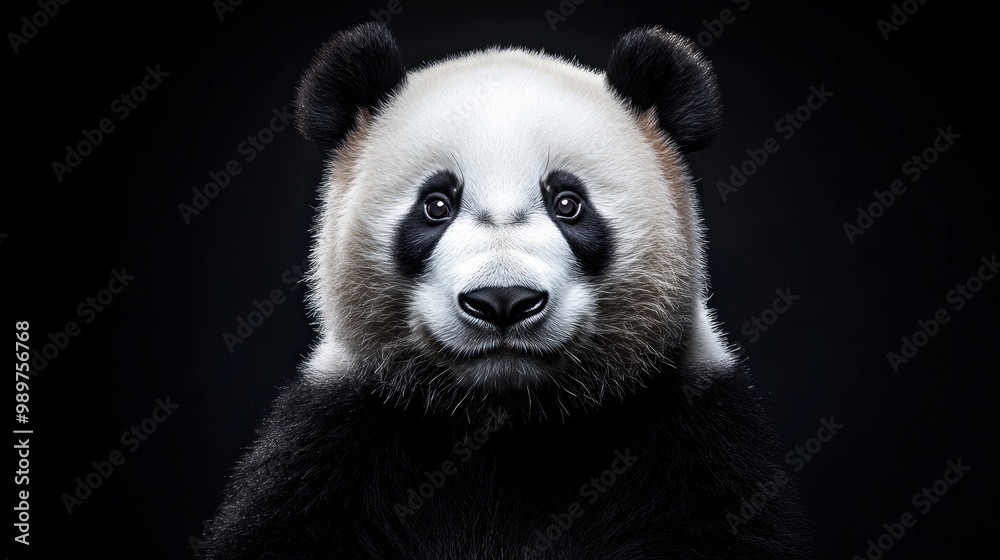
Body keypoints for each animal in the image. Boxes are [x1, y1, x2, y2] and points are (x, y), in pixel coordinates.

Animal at [203, 22, 815, 559]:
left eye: (568, 203)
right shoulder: (336, 444)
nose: (503, 302)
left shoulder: (694, 436)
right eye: (436, 205)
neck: (507, 422)